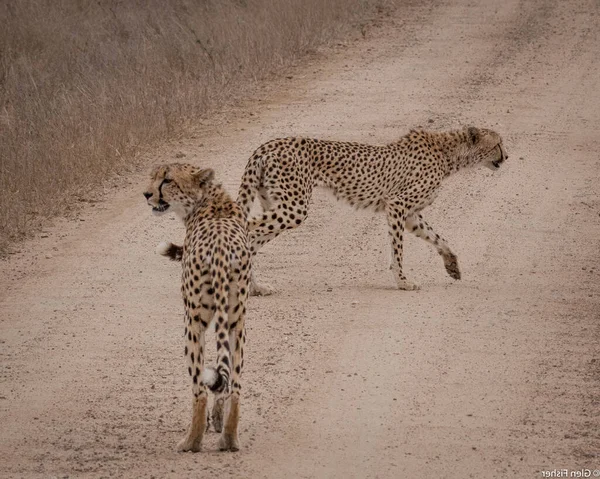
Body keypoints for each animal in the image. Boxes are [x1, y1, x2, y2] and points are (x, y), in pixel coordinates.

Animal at [144, 163, 250, 452]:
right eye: (154, 176)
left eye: (167, 180)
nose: (147, 194)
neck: (208, 199)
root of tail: (221, 252)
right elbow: (225, 381)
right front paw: (218, 420)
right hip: (237, 321)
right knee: (235, 386)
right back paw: (229, 439)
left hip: (192, 321)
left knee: (199, 389)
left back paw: (191, 441)